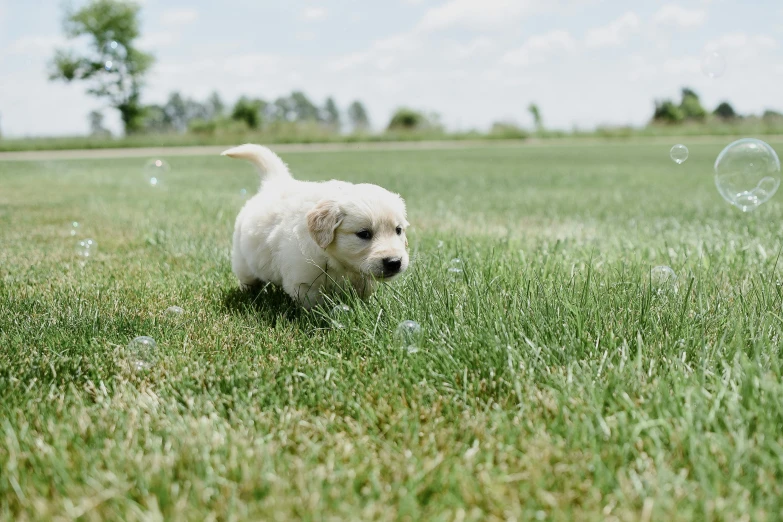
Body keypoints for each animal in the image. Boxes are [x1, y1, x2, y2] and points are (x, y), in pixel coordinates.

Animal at [220, 143, 410, 304]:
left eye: (398, 230)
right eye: (364, 234)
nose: (394, 262)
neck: (336, 261)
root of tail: (275, 183)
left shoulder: (362, 278)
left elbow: (364, 291)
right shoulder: (304, 282)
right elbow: (315, 305)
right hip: (243, 261)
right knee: (247, 278)